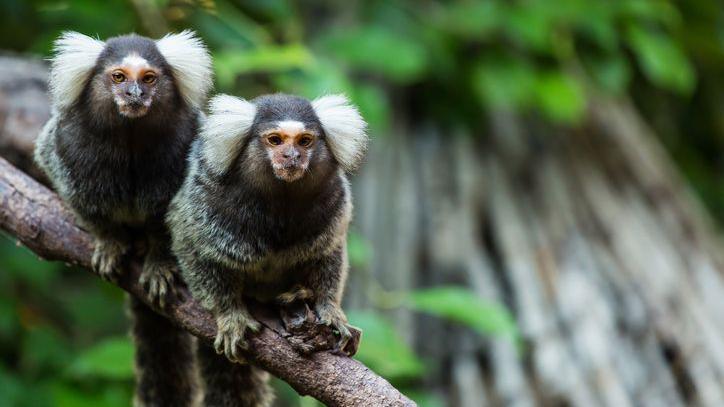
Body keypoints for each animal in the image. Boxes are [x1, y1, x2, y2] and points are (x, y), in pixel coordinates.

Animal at [34, 31, 212, 406]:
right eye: (118, 77)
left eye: (148, 79)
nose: (134, 94)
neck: (129, 138)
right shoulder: (68, 144)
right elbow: (78, 193)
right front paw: (110, 242)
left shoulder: (186, 144)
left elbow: (173, 219)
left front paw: (159, 262)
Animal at [166, 93, 368, 406]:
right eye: (275, 140)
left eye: (305, 141)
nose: (292, 156)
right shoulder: (205, 197)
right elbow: (193, 246)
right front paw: (230, 315)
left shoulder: (334, 201)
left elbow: (328, 253)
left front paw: (330, 310)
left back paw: (299, 294)